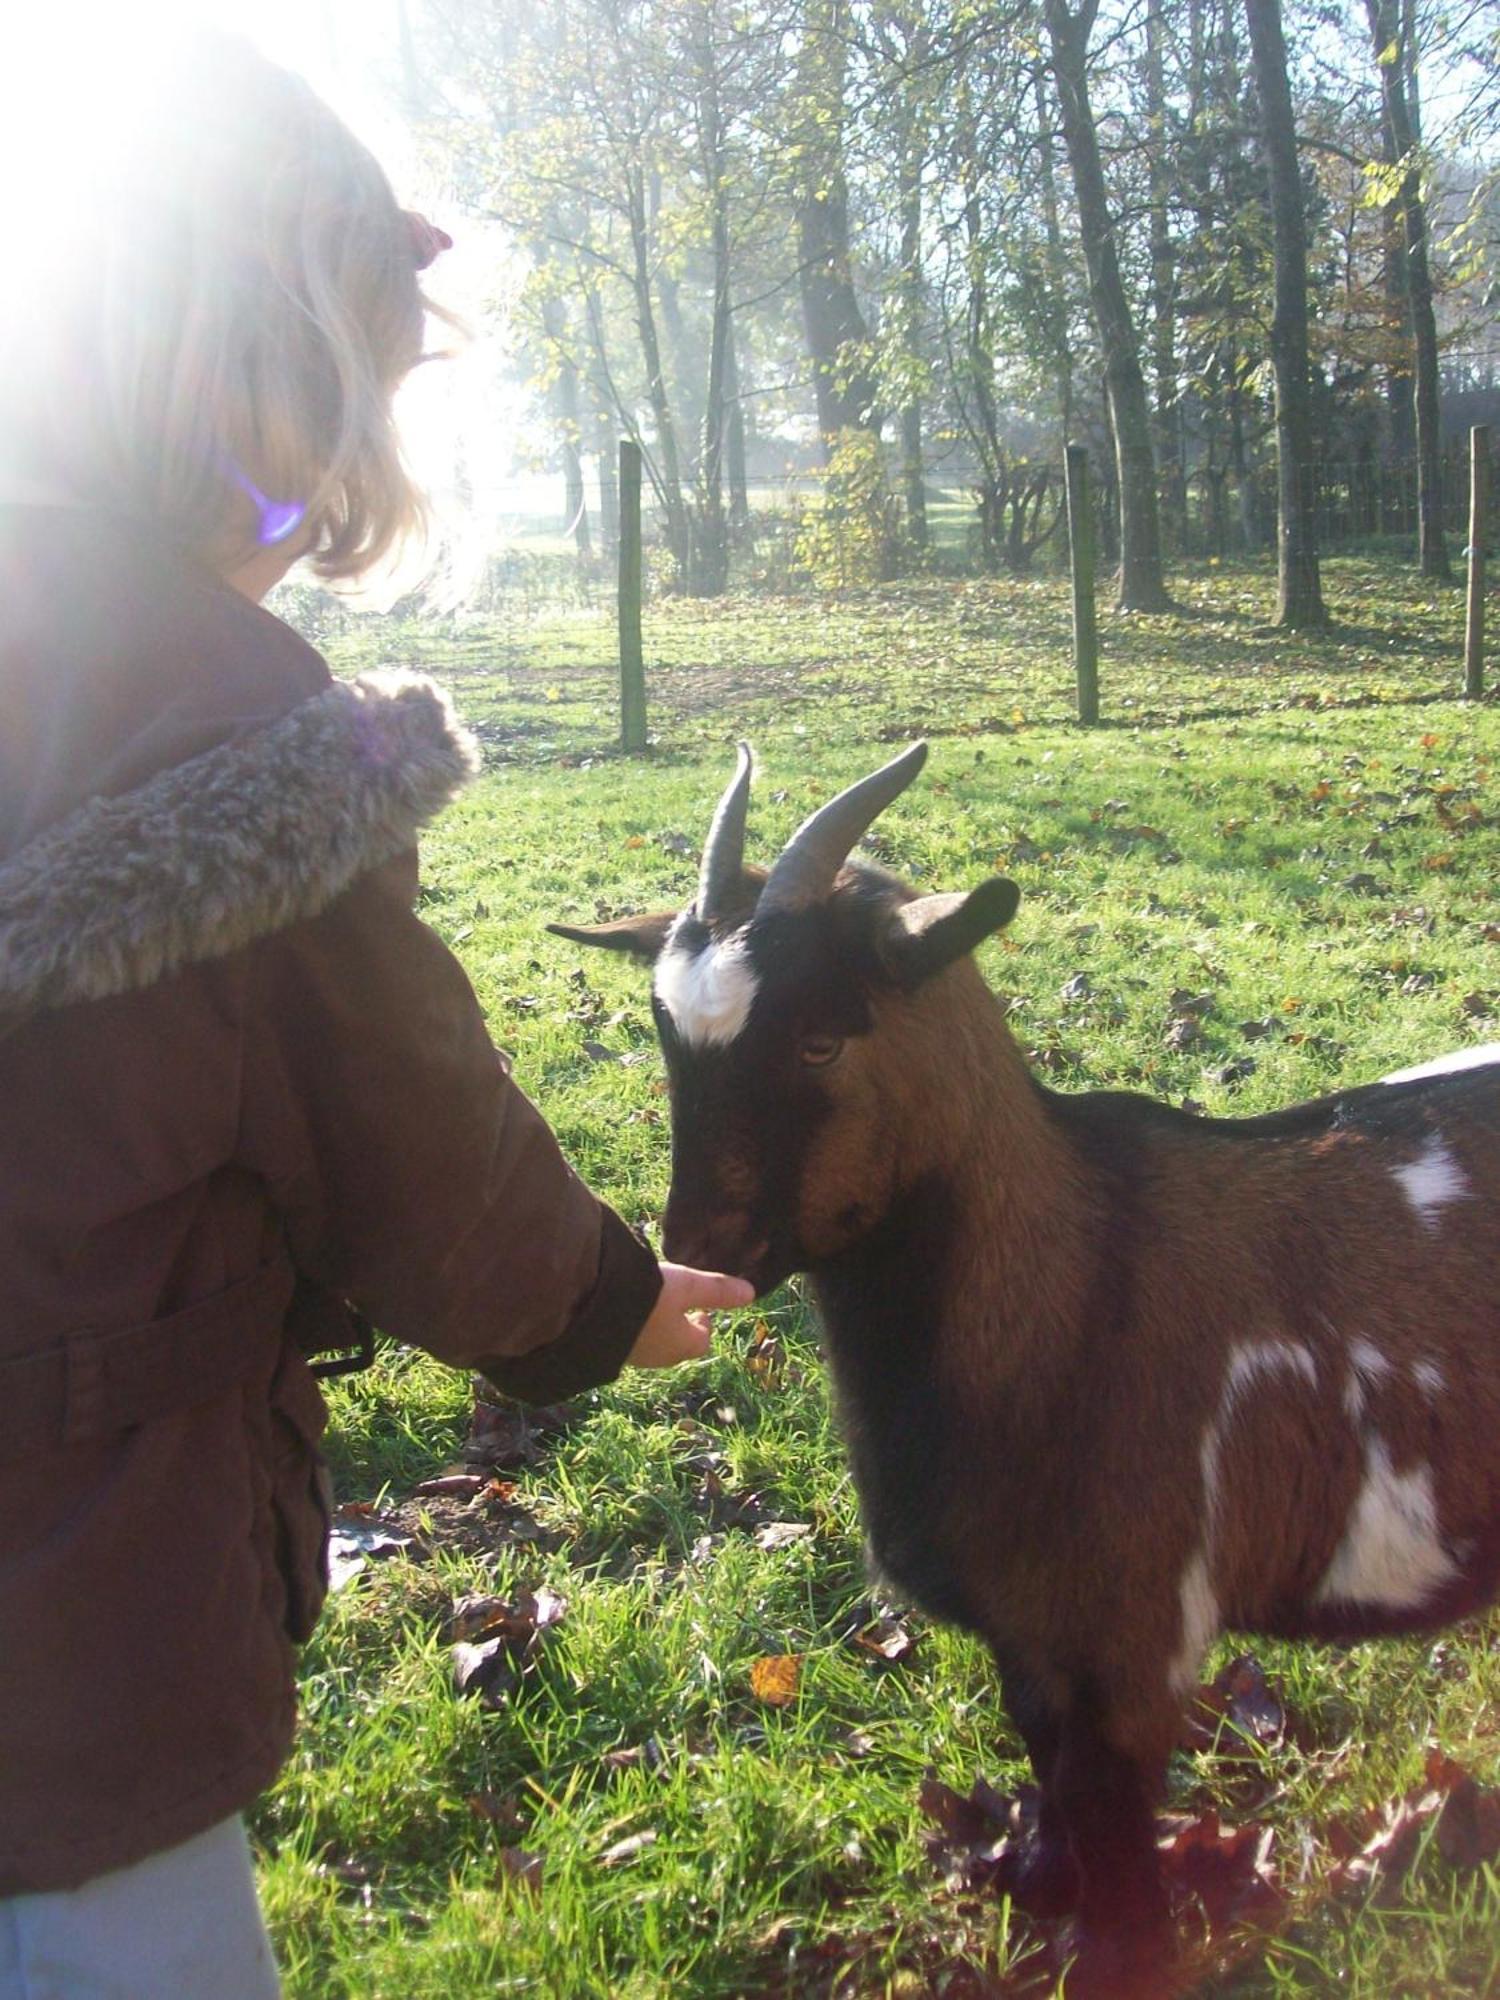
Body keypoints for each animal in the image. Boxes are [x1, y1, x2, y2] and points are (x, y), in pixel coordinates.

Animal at [552, 744, 1500, 1992]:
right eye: (665, 1034)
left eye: (821, 1037)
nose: (697, 1253)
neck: (1077, 1274)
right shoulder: (1035, 1651)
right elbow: (1053, 1784)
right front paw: (1037, 1879)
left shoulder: (1132, 1648)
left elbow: (1123, 1873)